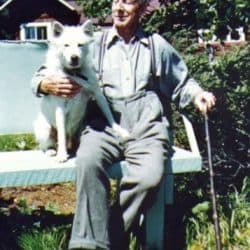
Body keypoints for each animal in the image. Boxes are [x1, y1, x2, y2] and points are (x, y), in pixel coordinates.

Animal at [33, 21, 129, 162]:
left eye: (80, 45)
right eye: (66, 45)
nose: (74, 58)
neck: (74, 74)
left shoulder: (98, 94)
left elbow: (109, 115)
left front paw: (120, 131)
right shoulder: (60, 106)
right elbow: (61, 134)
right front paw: (62, 155)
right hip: (44, 129)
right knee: (47, 145)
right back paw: (52, 151)